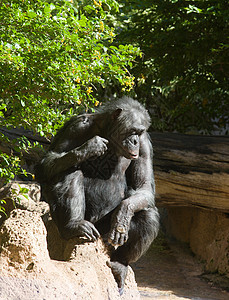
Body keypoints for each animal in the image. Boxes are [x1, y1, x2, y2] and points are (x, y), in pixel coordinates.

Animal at [35, 97, 158, 294]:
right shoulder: (76, 126)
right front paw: (88, 148)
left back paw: (120, 263)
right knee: (69, 171)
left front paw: (122, 218)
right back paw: (74, 225)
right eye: (132, 131)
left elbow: (143, 187)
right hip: (87, 226)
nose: (134, 141)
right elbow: (46, 162)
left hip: (104, 234)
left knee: (148, 216)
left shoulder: (145, 144)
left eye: (139, 133)